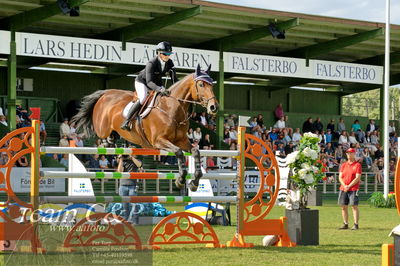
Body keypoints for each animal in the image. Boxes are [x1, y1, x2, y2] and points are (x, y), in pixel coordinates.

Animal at [72, 64, 219, 191]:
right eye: (201, 84)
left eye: (212, 84)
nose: (214, 107)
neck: (172, 108)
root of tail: (105, 94)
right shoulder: (158, 141)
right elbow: (178, 153)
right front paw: (181, 180)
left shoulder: (181, 141)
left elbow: (195, 151)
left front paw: (194, 182)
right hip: (102, 128)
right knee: (100, 135)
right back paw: (106, 142)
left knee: (112, 136)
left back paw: (113, 140)